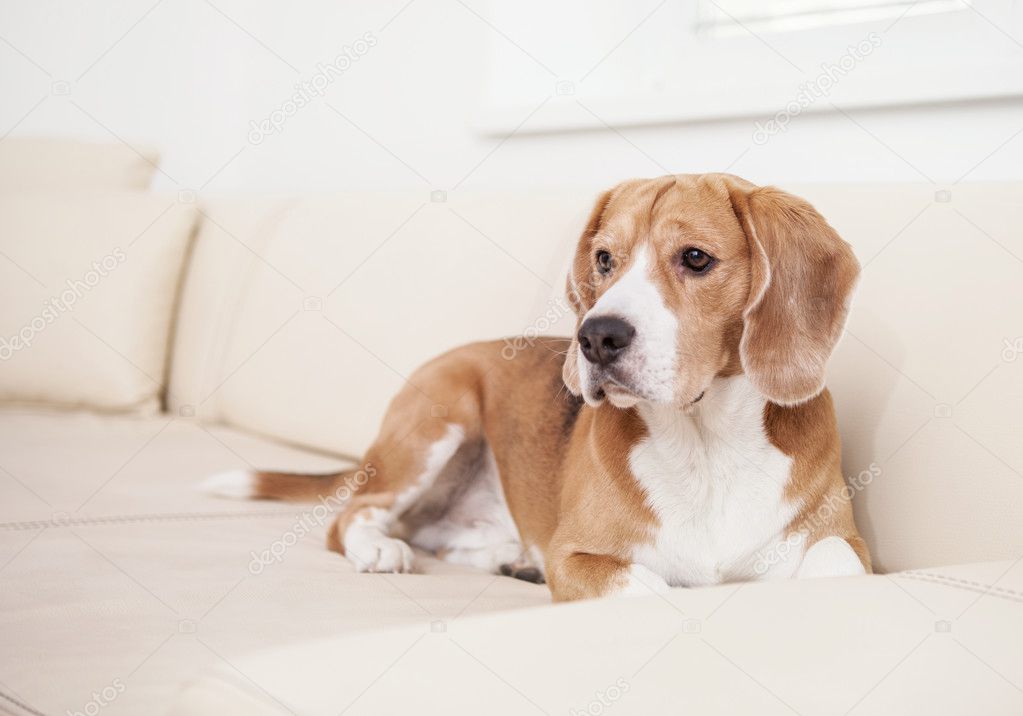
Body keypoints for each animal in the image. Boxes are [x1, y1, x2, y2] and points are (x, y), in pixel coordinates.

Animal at [209, 174, 871, 605]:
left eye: (696, 258)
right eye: (604, 259)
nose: (596, 336)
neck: (706, 444)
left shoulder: (850, 546)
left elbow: (836, 568)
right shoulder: (577, 558)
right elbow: (649, 586)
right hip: (439, 419)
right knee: (354, 515)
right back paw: (379, 548)